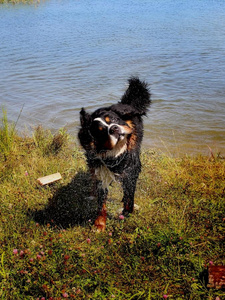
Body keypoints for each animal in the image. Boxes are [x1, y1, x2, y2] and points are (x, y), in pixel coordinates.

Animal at [78, 77, 150, 232]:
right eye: (100, 131)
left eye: (114, 120)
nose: (114, 129)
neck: (115, 154)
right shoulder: (101, 173)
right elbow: (101, 204)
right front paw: (99, 224)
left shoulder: (131, 172)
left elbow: (129, 197)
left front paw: (126, 213)